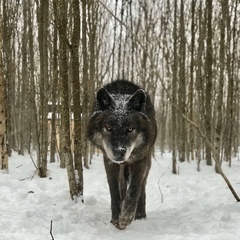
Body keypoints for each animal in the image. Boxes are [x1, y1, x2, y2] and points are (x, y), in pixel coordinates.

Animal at [87, 80, 157, 229]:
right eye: (108, 128)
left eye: (130, 129)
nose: (119, 152)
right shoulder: (109, 161)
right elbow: (114, 190)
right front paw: (116, 218)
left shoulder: (141, 159)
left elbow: (135, 188)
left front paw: (126, 217)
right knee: (123, 185)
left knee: (142, 187)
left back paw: (140, 214)